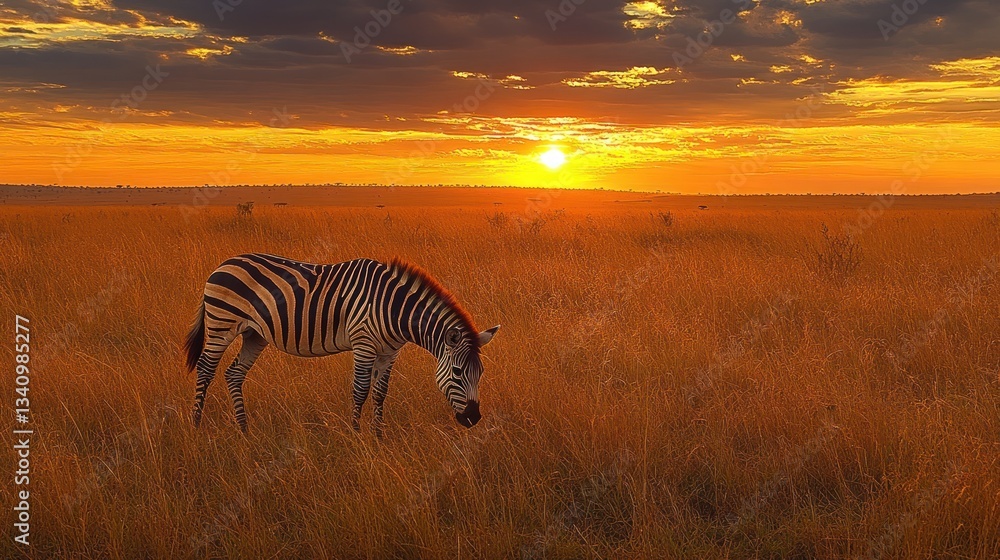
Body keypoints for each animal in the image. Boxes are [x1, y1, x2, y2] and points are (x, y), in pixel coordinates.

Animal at [183, 253, 500, 435]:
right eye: (457, 372)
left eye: (481, 374)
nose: (473, 418)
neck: (394, 309)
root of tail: (224, 263)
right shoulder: (364, 344)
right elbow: (360, 391)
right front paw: (356, 436)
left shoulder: (389, 352)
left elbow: (380, 393)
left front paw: (378, 437)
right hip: (221, 324)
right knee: (206, 369)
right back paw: (197, 426)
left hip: (254, 334)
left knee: (233, 374)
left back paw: (244, 430)